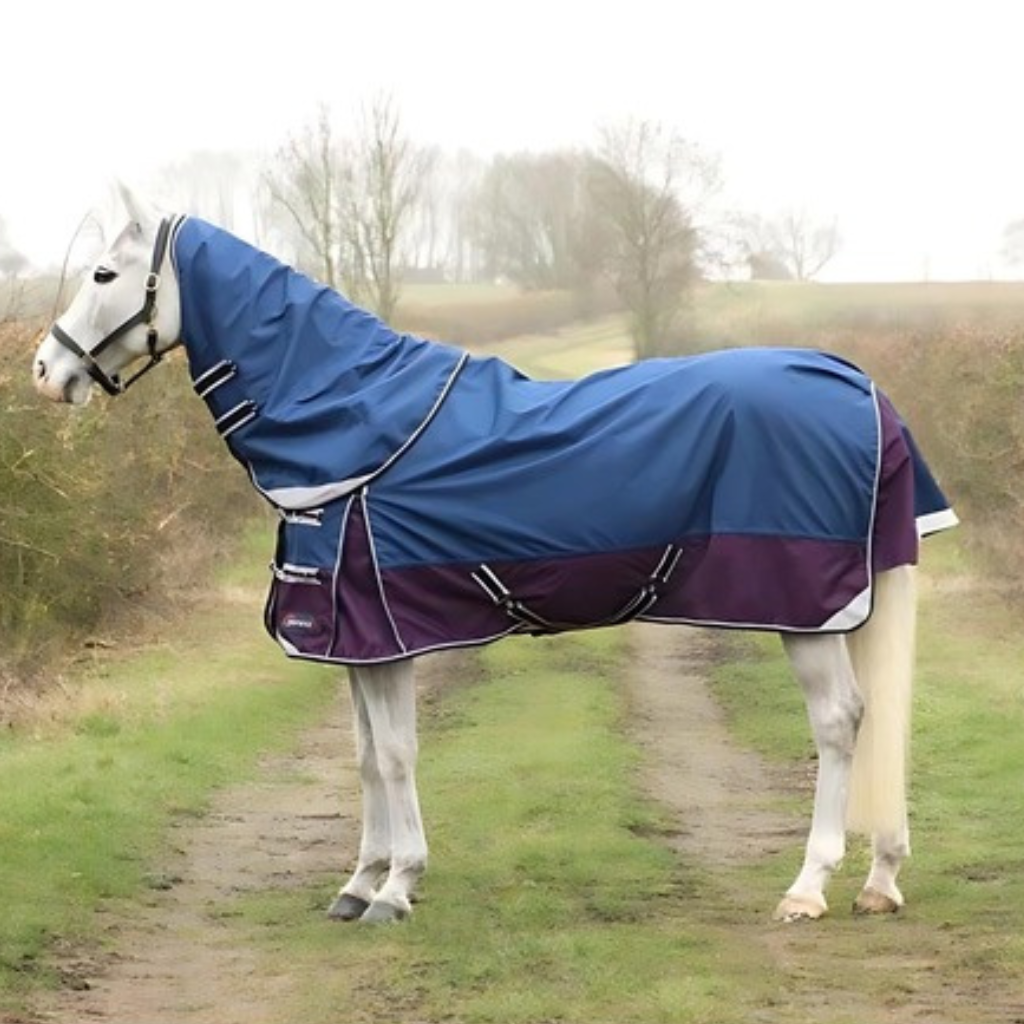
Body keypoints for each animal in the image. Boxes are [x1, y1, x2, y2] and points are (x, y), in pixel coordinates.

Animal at [33, 185, 957, 925]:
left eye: (105, 277)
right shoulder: (351, 640)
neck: (354, 420)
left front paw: (397, 888)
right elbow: (364, 757)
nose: (45, 371)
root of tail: (860, 387)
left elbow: (397, 754)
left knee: (841, 723)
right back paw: (879, 880)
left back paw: (809, 887)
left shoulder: (383, 633)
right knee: (876, 722)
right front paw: (357, 882)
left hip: (806, 611)